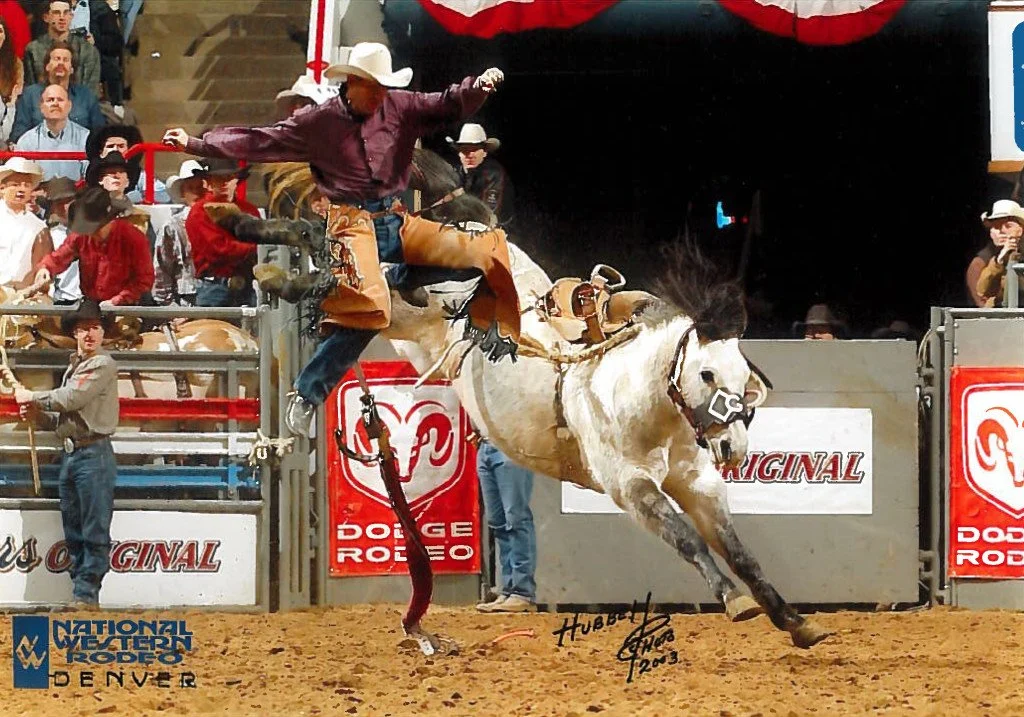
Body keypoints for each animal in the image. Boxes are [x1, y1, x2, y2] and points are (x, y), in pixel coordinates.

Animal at [232, 149, 831, 649]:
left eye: (743, 377)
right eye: (706, 373)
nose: (734, 446)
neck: (638, 401)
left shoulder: (699, 483)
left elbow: (740, 551)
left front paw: (794, 620)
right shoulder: (631, 488)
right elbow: (688, 541)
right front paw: (735, 601)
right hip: (390, 295)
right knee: (334, 261)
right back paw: (262, 253)